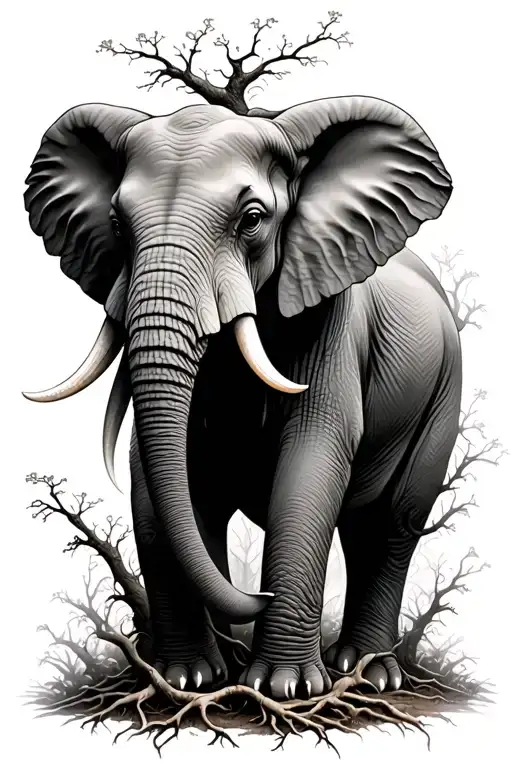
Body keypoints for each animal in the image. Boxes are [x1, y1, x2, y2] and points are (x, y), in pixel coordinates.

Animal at [22, 94, 461, 700]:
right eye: (116, 224)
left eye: (251, 220)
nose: (261, 596)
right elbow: (154, 476)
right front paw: (192, 678)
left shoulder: (332, 326)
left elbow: (311, 462)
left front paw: (287, 689)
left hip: (444, 392)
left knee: (393, 522)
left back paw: (369, 675)